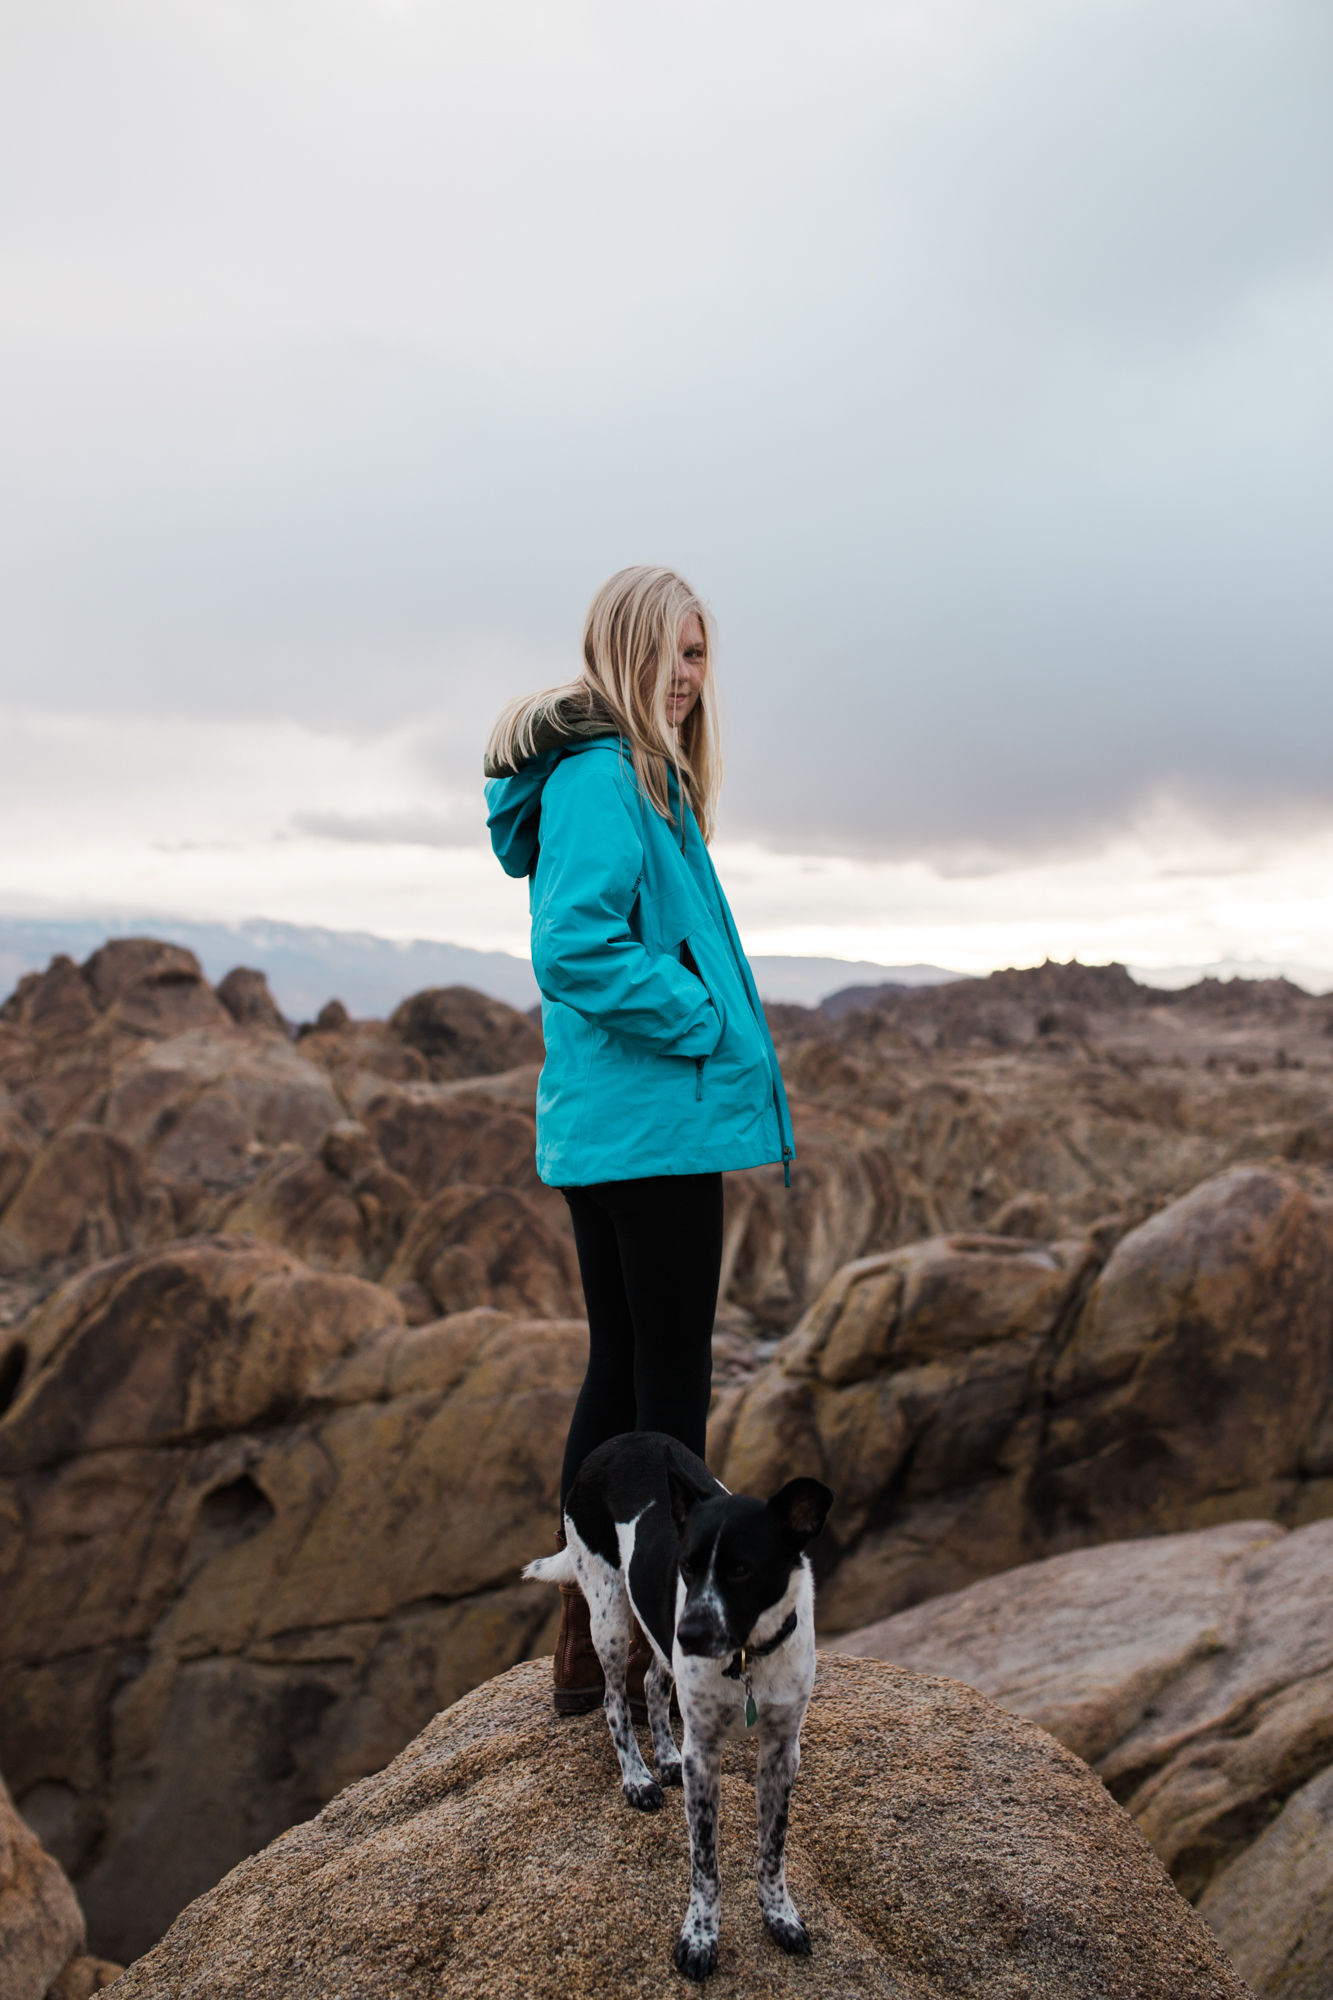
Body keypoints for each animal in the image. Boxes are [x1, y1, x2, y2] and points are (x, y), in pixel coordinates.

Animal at [520, 1432, 824, 1976]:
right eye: (687, 1567)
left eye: (741, 1570)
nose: (690, 1634)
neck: (746, 1652)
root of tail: (616, 1443)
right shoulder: (705, 1752)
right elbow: (705, 1862)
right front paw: (700, 1936)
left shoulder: (782, 1752)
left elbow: (772, 1849)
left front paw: (780, 1915)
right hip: (610, 1612)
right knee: (615, 1701)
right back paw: (638, 1777)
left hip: (651, 1628)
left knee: (653, 1683)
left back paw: (664, 1757)